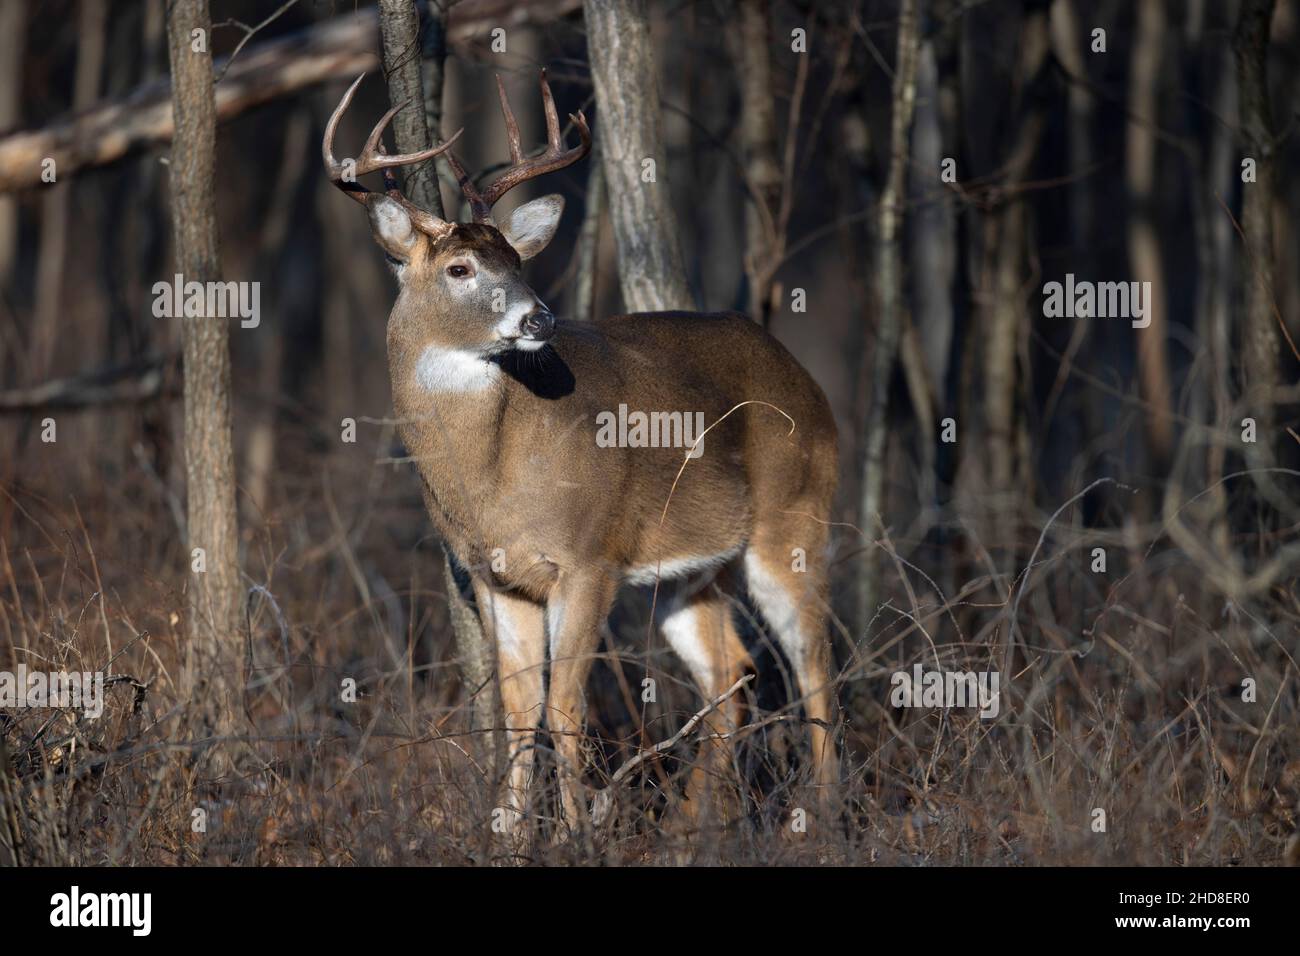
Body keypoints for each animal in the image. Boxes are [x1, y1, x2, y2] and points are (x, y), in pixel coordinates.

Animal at [325, 69, 842, 842]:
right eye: (460, 267)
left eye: (517, 260)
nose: (538, 315)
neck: (492, 473)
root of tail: (807, 382)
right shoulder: (495, 576)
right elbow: (520, 711)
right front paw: (509, 833)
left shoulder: (591, 556)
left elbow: (565, 708)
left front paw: (574, 834)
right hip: (689, 572)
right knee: (733, 672)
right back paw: (692, 825)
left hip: (794, 518)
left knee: (813, 661)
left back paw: (824, 814)